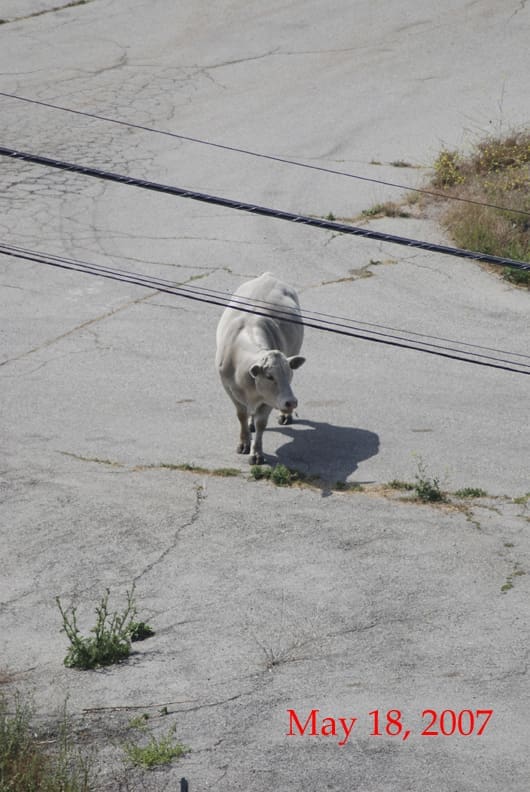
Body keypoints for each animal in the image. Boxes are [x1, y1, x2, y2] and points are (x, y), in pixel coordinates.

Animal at [215, 272, 305, 464]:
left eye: (288, 374)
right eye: (270, 376)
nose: (291, 402)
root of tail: (268, 276)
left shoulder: (268, 399)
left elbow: (261, 423)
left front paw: (256, 453)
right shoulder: (229, 388)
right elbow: (241, 415)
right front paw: (244, 443)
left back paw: (285, 416)